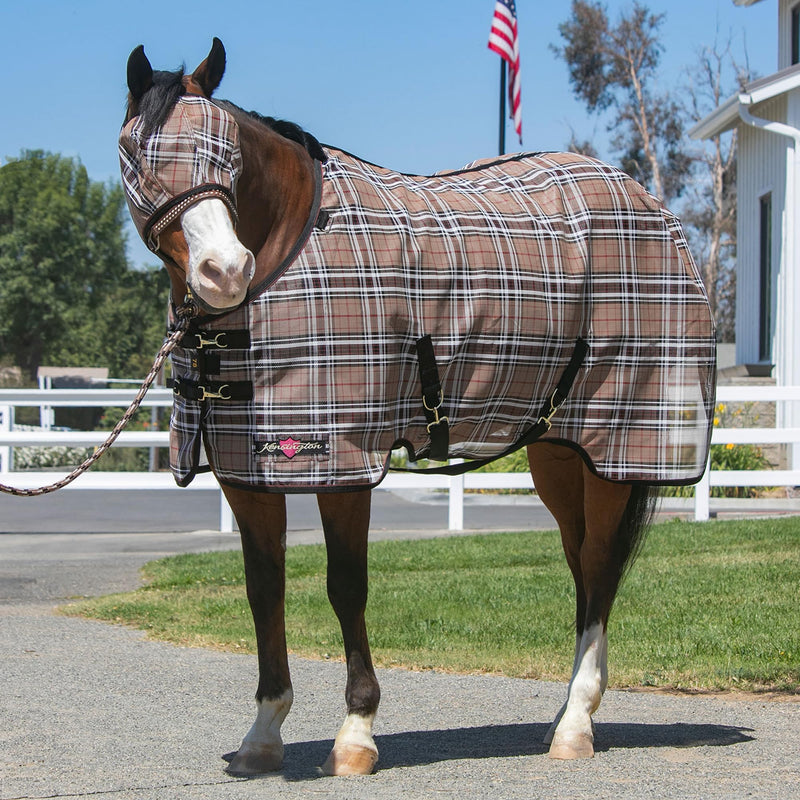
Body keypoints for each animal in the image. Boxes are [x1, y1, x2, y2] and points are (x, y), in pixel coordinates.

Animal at [119, 39, 716, 776]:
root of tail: (647, 202)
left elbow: (346, 587)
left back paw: (575, 726)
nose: (224, 271)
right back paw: (569, 711)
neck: (291, 251)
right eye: (137, 155)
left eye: (228, 156)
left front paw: (355, 735)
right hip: (559, 452)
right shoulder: (246, 471)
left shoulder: (343, 464)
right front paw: (263, 735)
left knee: (601, 569)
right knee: (582, 566)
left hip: (616, 449)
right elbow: (265, 591)